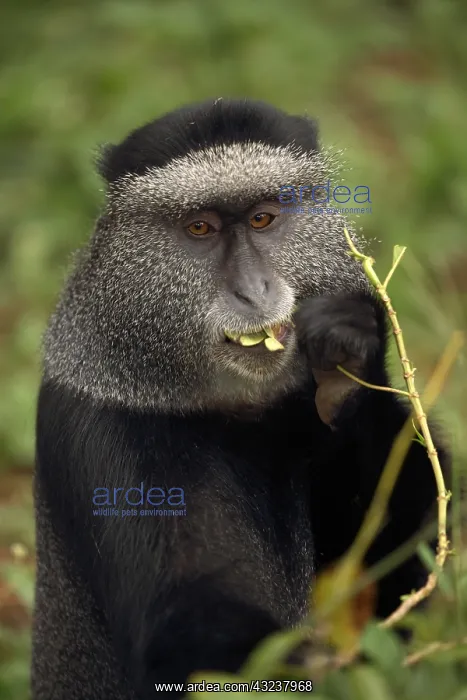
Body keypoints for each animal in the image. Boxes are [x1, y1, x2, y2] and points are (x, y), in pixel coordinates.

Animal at [31, 98, 449, 699]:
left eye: (261, 219)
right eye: (200, 228)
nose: (253, 291)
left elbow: (402, 544)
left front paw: (347, 365)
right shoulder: (109, 429)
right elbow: (188, 618)